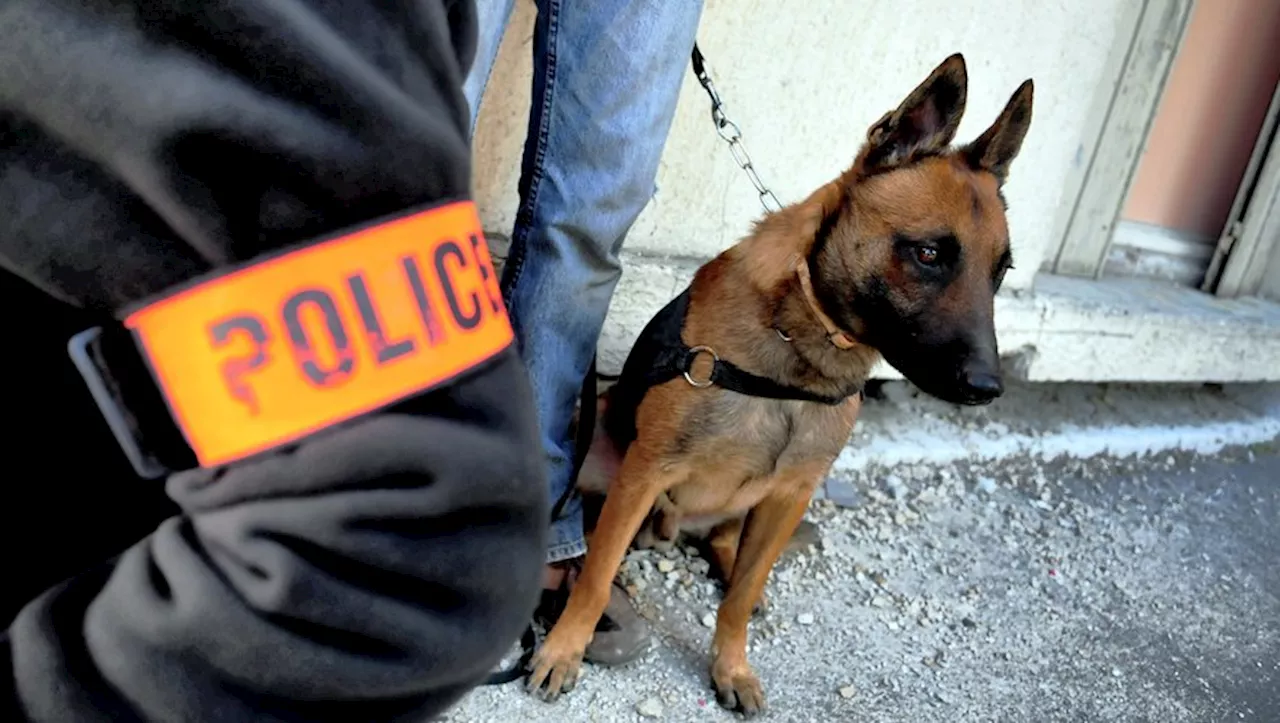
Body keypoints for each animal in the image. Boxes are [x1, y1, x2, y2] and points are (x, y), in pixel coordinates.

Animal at [524, 55, 1034, 716]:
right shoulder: (644, 474)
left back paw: (725, 560)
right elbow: (595, 576)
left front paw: (731, 665)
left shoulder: (791, 492)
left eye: (1001, 273)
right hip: (601, 464)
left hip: (756, 502)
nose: (988, 388)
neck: (798, 351)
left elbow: (739, 599)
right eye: (928, 254)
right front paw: (564, 649)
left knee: (730, 543)